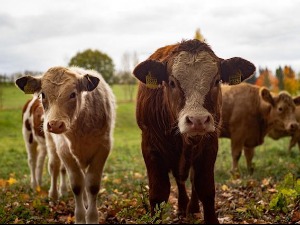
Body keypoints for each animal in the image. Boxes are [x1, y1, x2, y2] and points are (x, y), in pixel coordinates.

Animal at [15, 66, 116, 223]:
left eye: (73, 94)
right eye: (43, 94)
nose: (55, 124)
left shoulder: (103, 148)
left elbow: (92, 185)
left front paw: (91, 216)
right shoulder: (64, 150)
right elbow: (77, 184)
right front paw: (80, 218)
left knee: (44, 162)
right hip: (32, 138)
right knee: (45, 164)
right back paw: (45, 190)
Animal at [134, 39, 255, 223]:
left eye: (217, 81)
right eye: (172, 83)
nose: (197, 120)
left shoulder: (209, 145)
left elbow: (205, 188)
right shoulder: (150, 147)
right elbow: (158, 193)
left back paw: (191, 208)